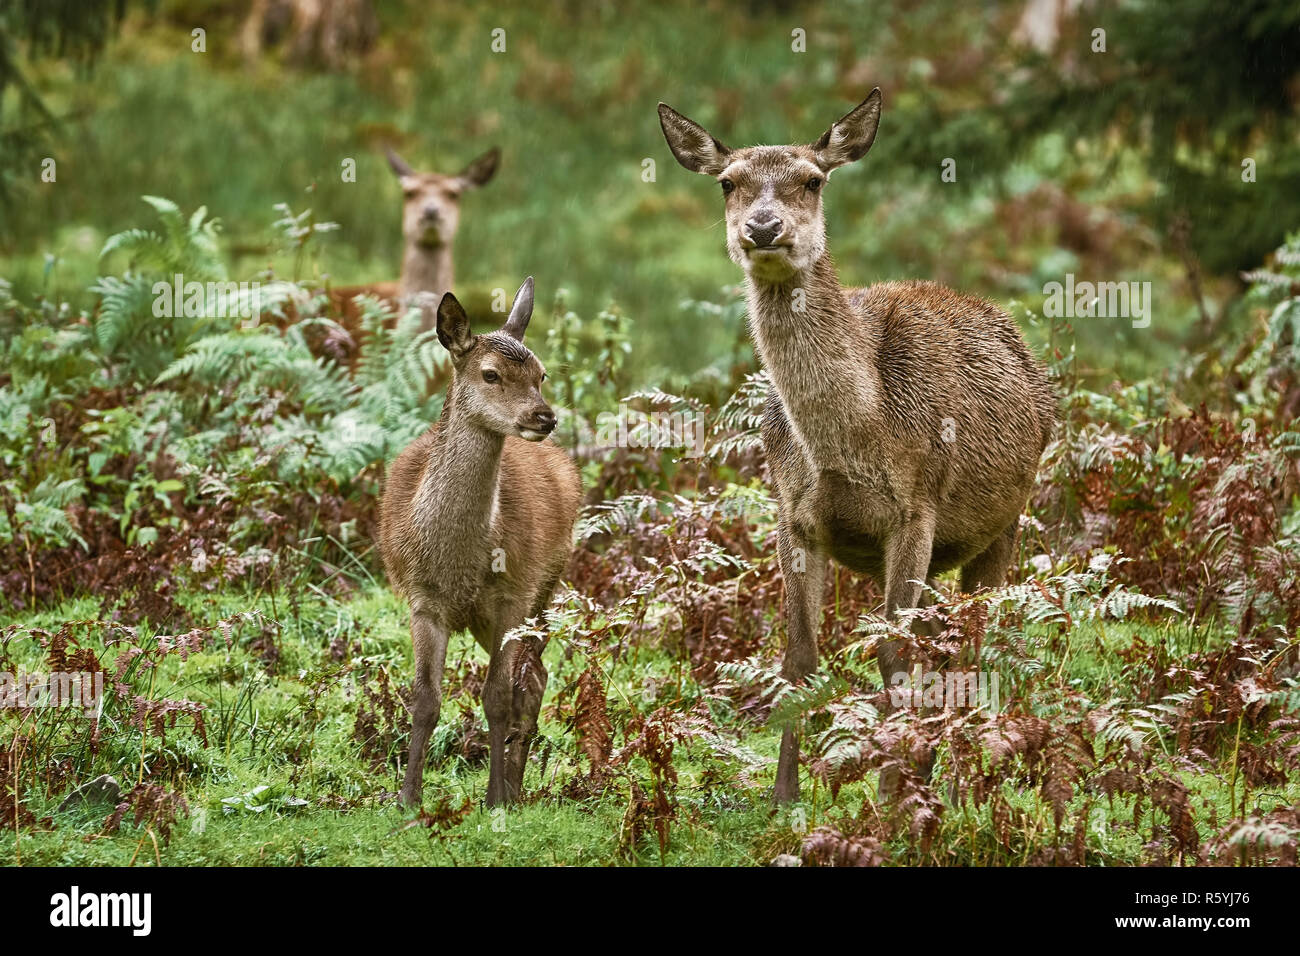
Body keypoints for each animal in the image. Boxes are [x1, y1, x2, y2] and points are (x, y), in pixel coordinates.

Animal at [377, 278, 579, 806]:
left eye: (541, 374)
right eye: (491, 374)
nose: (544, 417)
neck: (459, 560)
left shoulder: (512, 594)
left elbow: (496, 698)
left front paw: (493, 799)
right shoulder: (423, 600)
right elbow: (425, 699)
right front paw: (408, 798)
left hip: (546, 586)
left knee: (532, 678)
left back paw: (512, 787)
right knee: (536, 675)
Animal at [660, 93, 1055, 806]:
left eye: (813, 180)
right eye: (727, 182)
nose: (763, 227)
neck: (855, 440)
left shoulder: (917, 508)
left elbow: (892, 654)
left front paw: (894, 797)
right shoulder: (793, 515)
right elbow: (799, 656)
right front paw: (786, 795)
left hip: (1006, 522)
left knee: (976, 643)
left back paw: (956, 782)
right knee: (941, 640)